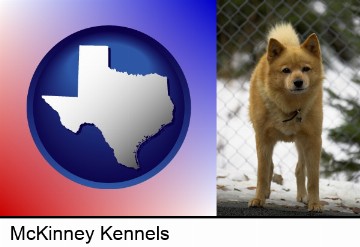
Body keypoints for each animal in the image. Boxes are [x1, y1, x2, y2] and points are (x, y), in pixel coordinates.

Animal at [250, 23, 324, 211]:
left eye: (306, 68)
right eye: (286, 70)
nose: (298, 82)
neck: (290, 108)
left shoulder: (313, 140)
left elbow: (313, 178)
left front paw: (314, 203)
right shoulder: (263, 139)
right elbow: (262, 173)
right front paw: (258, 199)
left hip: (301, 143)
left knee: (299, 168)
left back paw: (303, 196)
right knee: (270, 166)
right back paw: (266, 193)